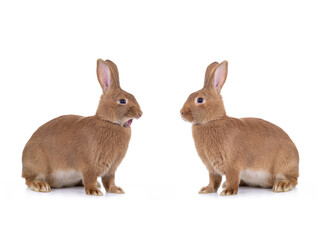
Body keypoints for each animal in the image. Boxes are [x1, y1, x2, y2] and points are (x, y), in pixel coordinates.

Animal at [21, 59, 142, 196]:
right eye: (122, 101)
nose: (140, 113)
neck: (109, 122)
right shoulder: (89, 165)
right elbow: (90, 178)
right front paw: (94, 191)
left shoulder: (111, 170)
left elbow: (109, 181)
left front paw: (116, 189)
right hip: (38, 163)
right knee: (29, 179)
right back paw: (40, 186)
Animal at [182, 61, 300, 196]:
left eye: (200, 100)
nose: (181, 113)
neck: (213, 120)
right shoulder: (212, 169)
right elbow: (214, 180)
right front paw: (207, 189)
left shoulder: (232, 165)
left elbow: (232, 178)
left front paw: (228, 191)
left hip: (283, 164)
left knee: (293, 179)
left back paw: (281, 185)